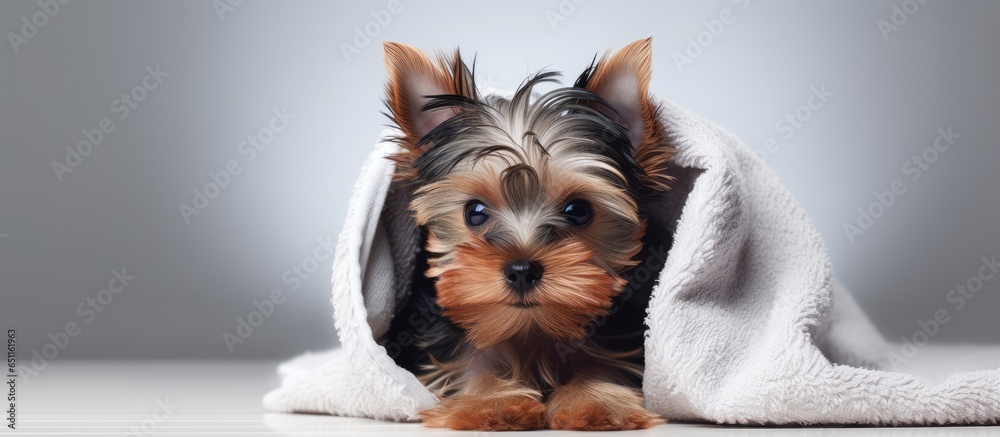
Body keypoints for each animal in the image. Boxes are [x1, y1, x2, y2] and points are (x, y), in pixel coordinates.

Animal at [378, 37, 676, 430]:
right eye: (474, 212)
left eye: (578, 211)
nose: (521, 270)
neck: (531, 329)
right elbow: (474, 364)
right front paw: (492, 403)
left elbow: (601, 364)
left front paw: (595, 401)